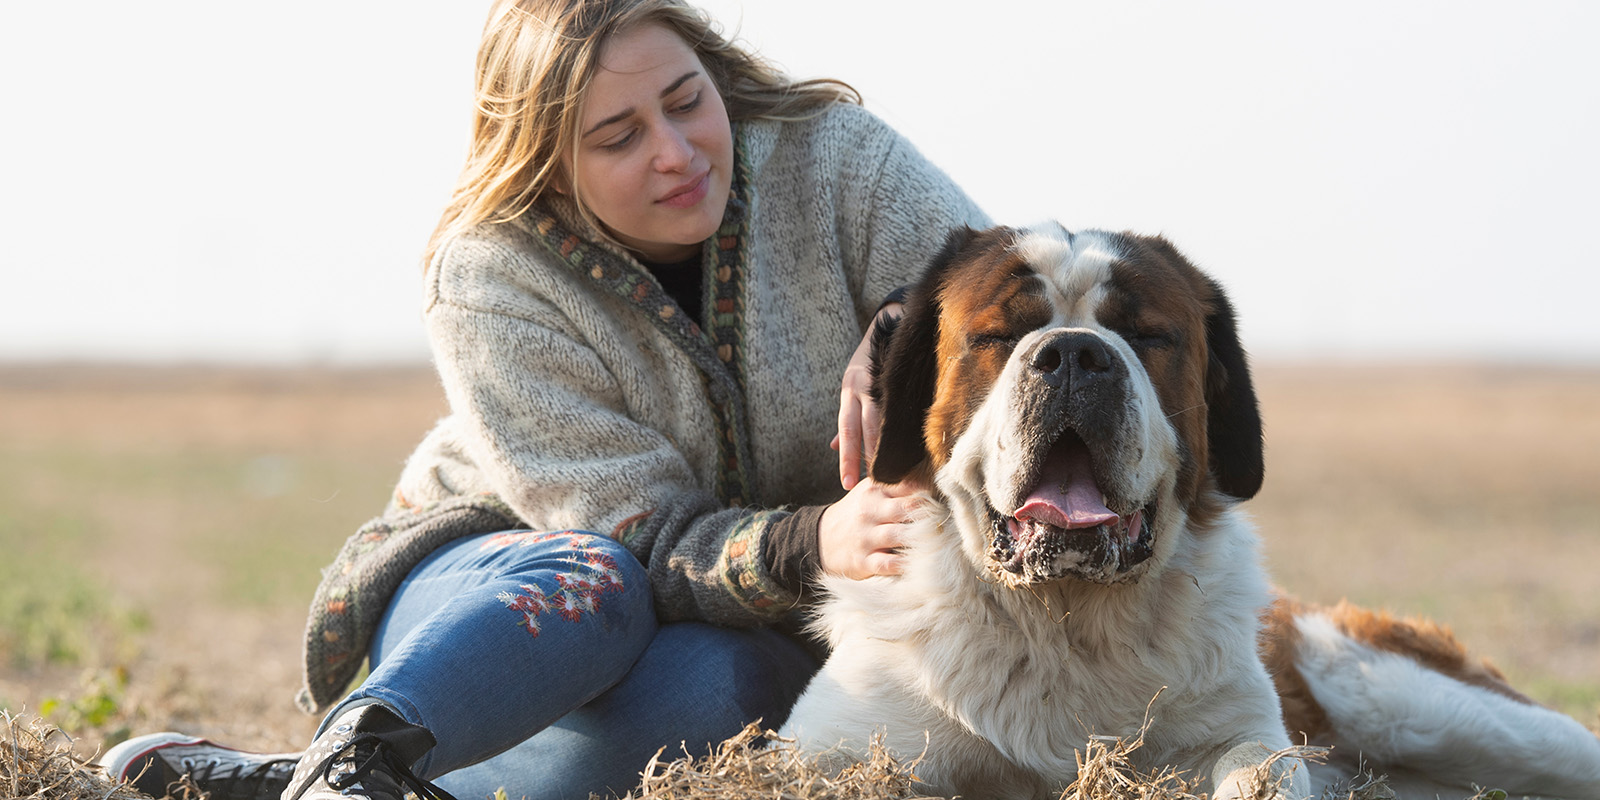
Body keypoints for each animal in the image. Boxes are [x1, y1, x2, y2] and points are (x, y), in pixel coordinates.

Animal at [780, 224, 1600, 800]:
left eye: (1147, 335)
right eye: (1000, 335)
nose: (1074, 353)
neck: (1065, 623)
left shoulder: (1241, 731)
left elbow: (1257, 767)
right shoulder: (835, 743)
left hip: (1411, 700)